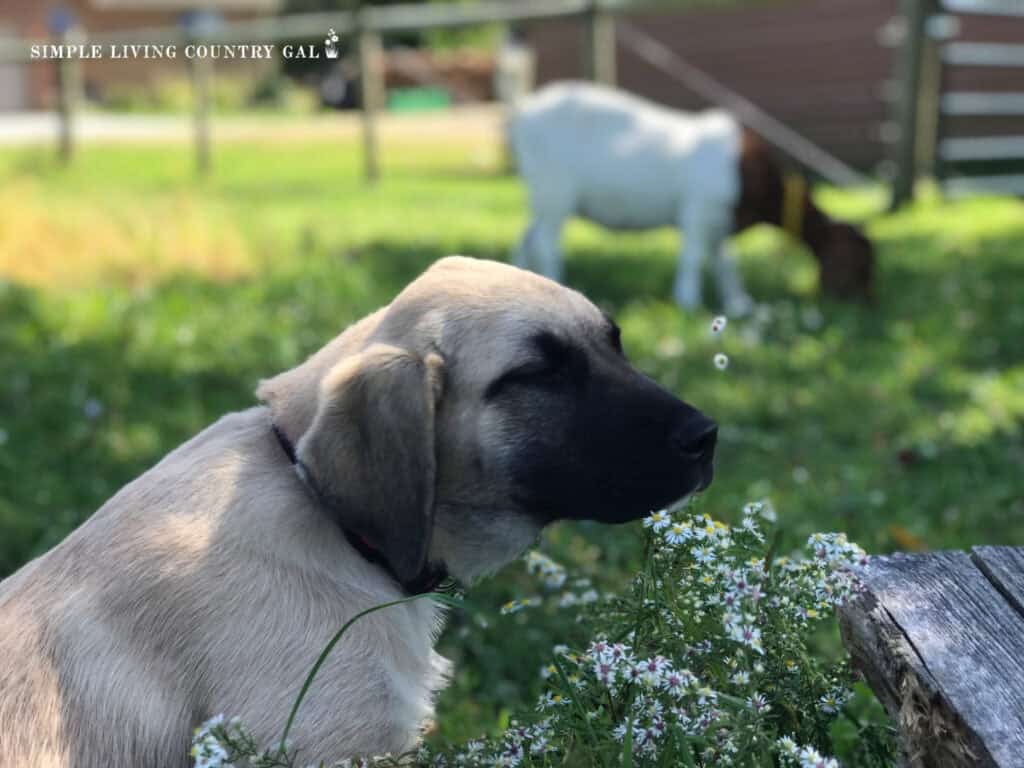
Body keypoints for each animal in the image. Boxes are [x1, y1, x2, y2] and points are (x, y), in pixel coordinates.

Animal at [512, 81, 872, 315]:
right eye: (853, 260)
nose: (865, 305)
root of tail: (522, 115)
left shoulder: (721, 219)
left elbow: (725, 262)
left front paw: (739, 304)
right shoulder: (700, 209)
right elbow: (694, 256)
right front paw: (687, 301)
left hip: (543, 195)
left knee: (527, 236)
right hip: (555, 190)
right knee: (546, 242)